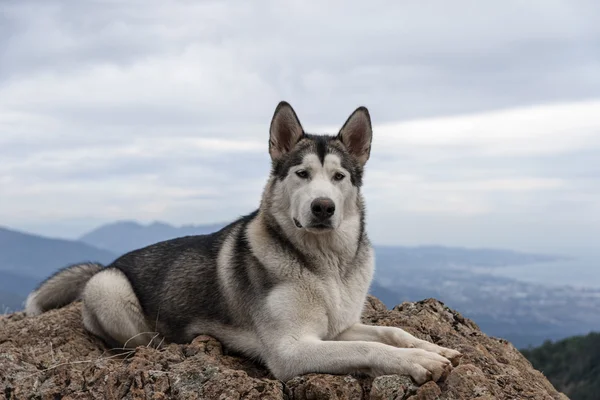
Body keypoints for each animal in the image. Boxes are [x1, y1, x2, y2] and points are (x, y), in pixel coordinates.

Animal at [25, 101, 462, 382]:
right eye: (302, 174)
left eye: (339, 177)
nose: (322, 207)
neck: (326, 267)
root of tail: (107, 263)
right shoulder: (291, 349)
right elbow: (368, 349)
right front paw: (419, 362)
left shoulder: (337, 328)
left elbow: (391, 333)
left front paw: (432, 348)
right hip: (110, 289)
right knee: (139, 342)